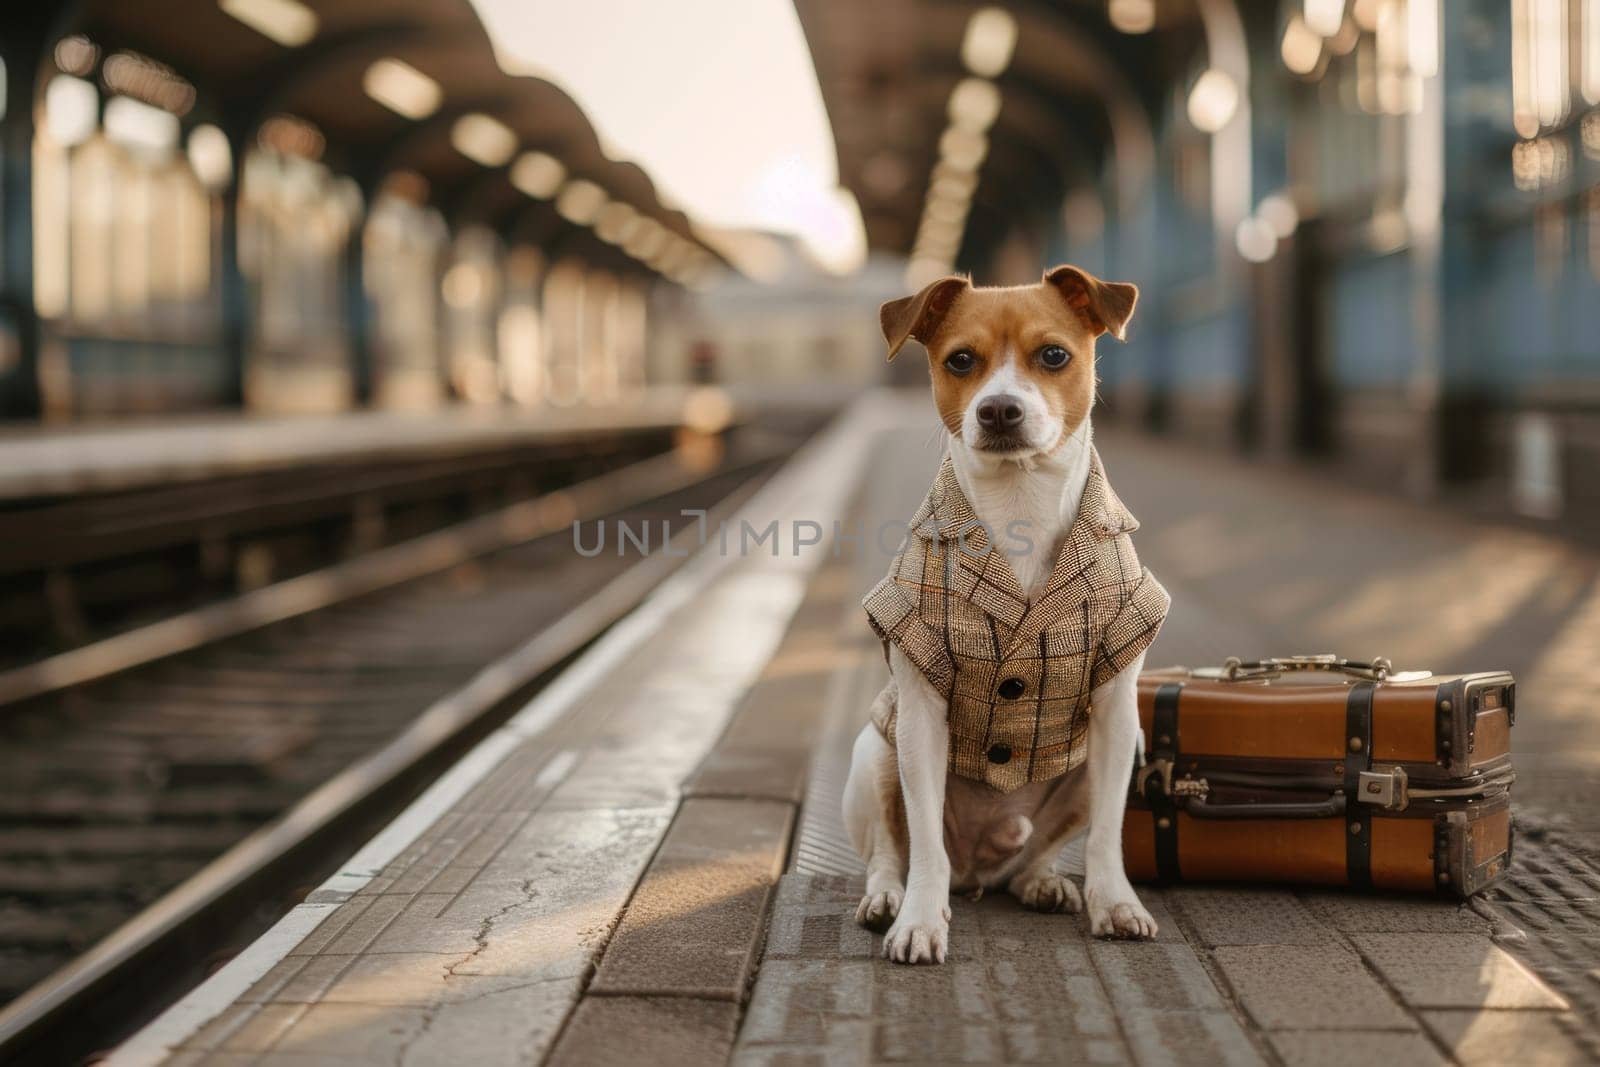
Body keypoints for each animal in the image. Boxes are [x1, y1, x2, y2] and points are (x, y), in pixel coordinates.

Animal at [844, 262, 1171, 966]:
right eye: (960, 360)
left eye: (1053, 355)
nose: (998, 408)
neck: (1021, 500)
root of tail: (980, 868)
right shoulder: (920, 716)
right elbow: (922, 845)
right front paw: (919, 921)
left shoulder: (1115, 711)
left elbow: (1107, 836)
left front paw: (1116, 903)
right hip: (876, 754)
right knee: (892, 852)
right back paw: (888, 898)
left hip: (1096, 766)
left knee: (1031, 858)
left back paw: (1042, 883)